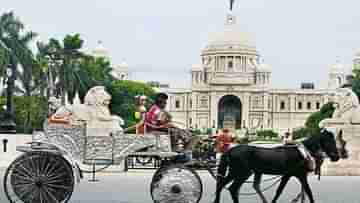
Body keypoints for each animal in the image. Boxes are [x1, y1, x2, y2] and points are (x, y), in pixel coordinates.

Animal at [214, 128, 348, 203]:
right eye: (330, 141)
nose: (336, 157)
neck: (302, 153)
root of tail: (229, 150)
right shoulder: (300, 175)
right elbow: (308, 192)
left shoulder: (288, 175)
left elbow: (279, 191)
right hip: (241, 173)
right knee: (231, 188)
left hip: (238, 173)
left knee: (224, 186)